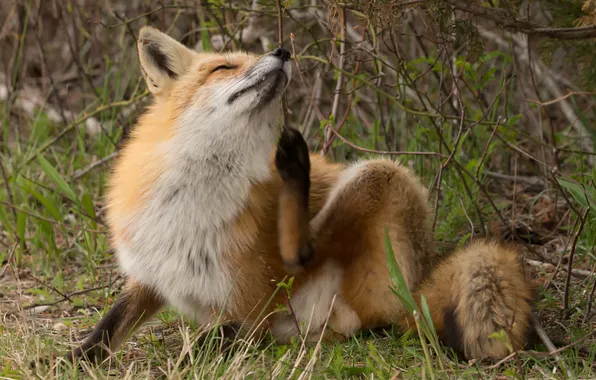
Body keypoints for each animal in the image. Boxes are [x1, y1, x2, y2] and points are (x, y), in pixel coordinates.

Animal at [65, 25, 536, 364]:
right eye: (223, 67)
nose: (282, 51)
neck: (191, 202)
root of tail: (420, 282)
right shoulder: (152, 272)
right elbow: (108, 327)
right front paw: (73, 360)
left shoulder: (251, 306)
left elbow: (216, 339)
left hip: (380, 176)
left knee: (305, 258)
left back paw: (297, 171)